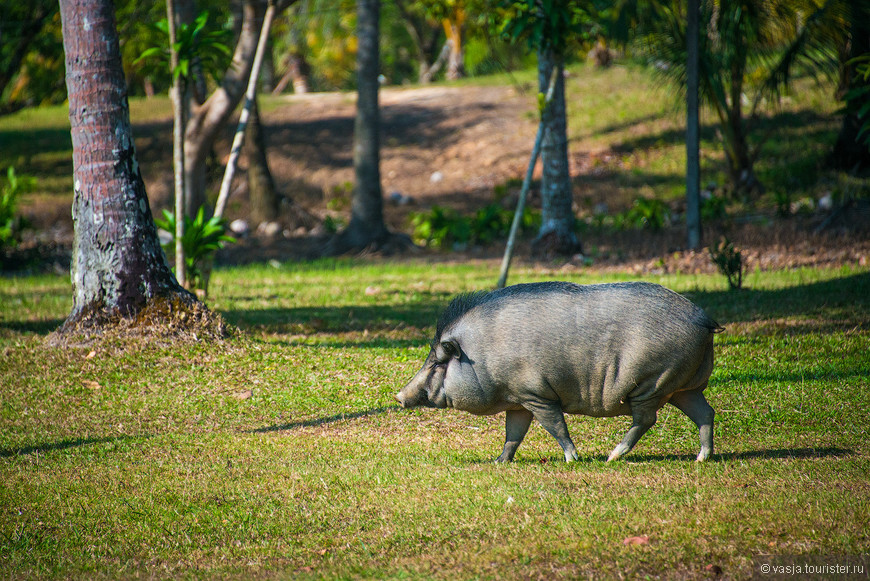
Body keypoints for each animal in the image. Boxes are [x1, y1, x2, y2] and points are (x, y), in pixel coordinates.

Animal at [396, 280, 724, 462]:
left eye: (439, 361)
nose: (398, 396)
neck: (483, 353)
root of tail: (703, 319)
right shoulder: (519, 400)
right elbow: (513, 433)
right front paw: (499, 462)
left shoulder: (536, 394)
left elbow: (555, 426)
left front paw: (572, 459)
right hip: (683, 386)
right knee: (705, 412)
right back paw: (701, 459)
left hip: (651, 381)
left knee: (646, 419)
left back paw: (611, 457)